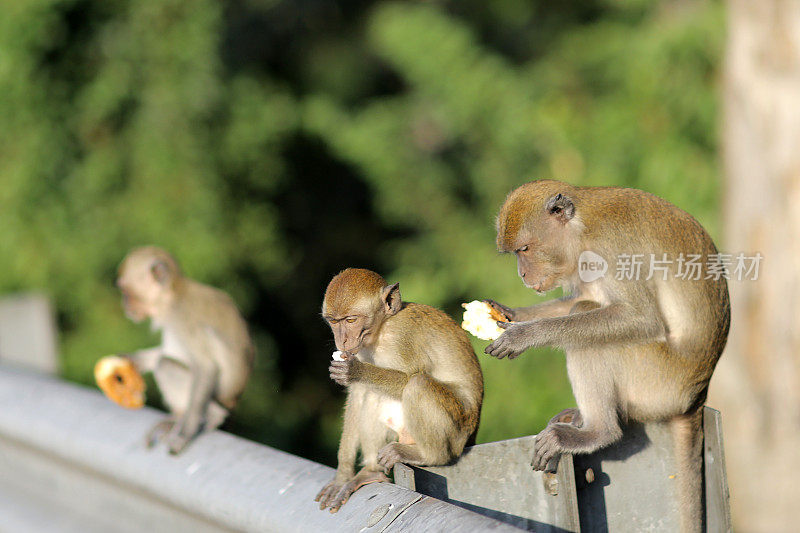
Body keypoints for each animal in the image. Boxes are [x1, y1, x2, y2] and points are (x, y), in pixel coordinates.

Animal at [114, 247, 253, 456]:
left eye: (125, 292)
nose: (124, 304)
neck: (173, 296)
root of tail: (233, 400)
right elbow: (164, 351)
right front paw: (133, 360)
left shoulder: (182, 319)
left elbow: (206, 368)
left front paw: (187, 432)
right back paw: (176, 418)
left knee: (165, 365)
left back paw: (212, 415)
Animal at [316, 268, 484, 512]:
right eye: (333, 321)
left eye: (351, 320)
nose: (342, 340)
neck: (381, 330)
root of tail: (472, 434)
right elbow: (358, 395)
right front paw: (342, 476)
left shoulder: (402, 339)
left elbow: (409, 377)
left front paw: (357, 371)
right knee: (372, 395)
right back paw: (370, 471)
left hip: (457, 431)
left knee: (417, 385)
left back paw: (430, 456)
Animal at [484, 180, 728, 532]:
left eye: (524, 249)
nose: (522, 275)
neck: (582, 226)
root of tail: (696, 396)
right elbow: (582, 296)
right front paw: (512, 315)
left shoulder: (611, 249)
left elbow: (640, 319)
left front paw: (525, 334)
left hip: (657, 379)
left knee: (590, 327)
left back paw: (598, 432)